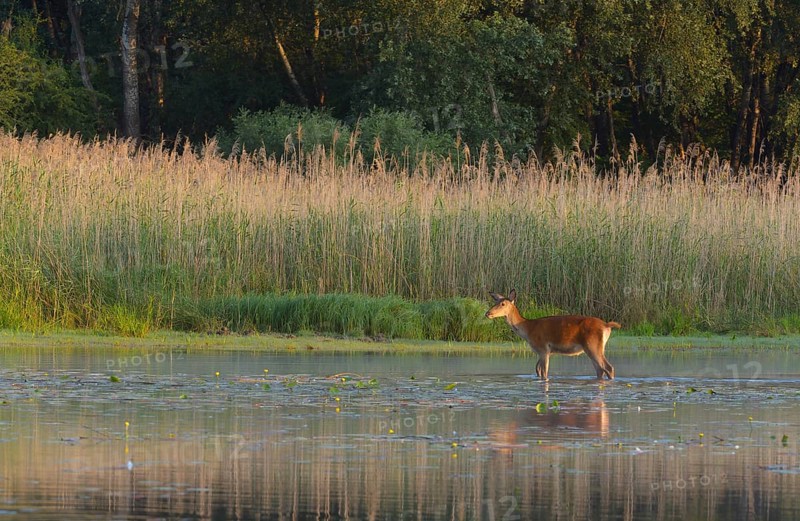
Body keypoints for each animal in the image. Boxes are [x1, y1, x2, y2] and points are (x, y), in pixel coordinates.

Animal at [485, 289, 620, 380]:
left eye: (503, 304)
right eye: (495, 301)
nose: (487, 313)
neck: (528, 330)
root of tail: (607, 326)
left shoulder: (543, 348)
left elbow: (544, 372)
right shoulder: (542, 351)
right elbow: (537, 370)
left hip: (593, 345)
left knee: (608, 367)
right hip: (593, 348)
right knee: (600, 370)